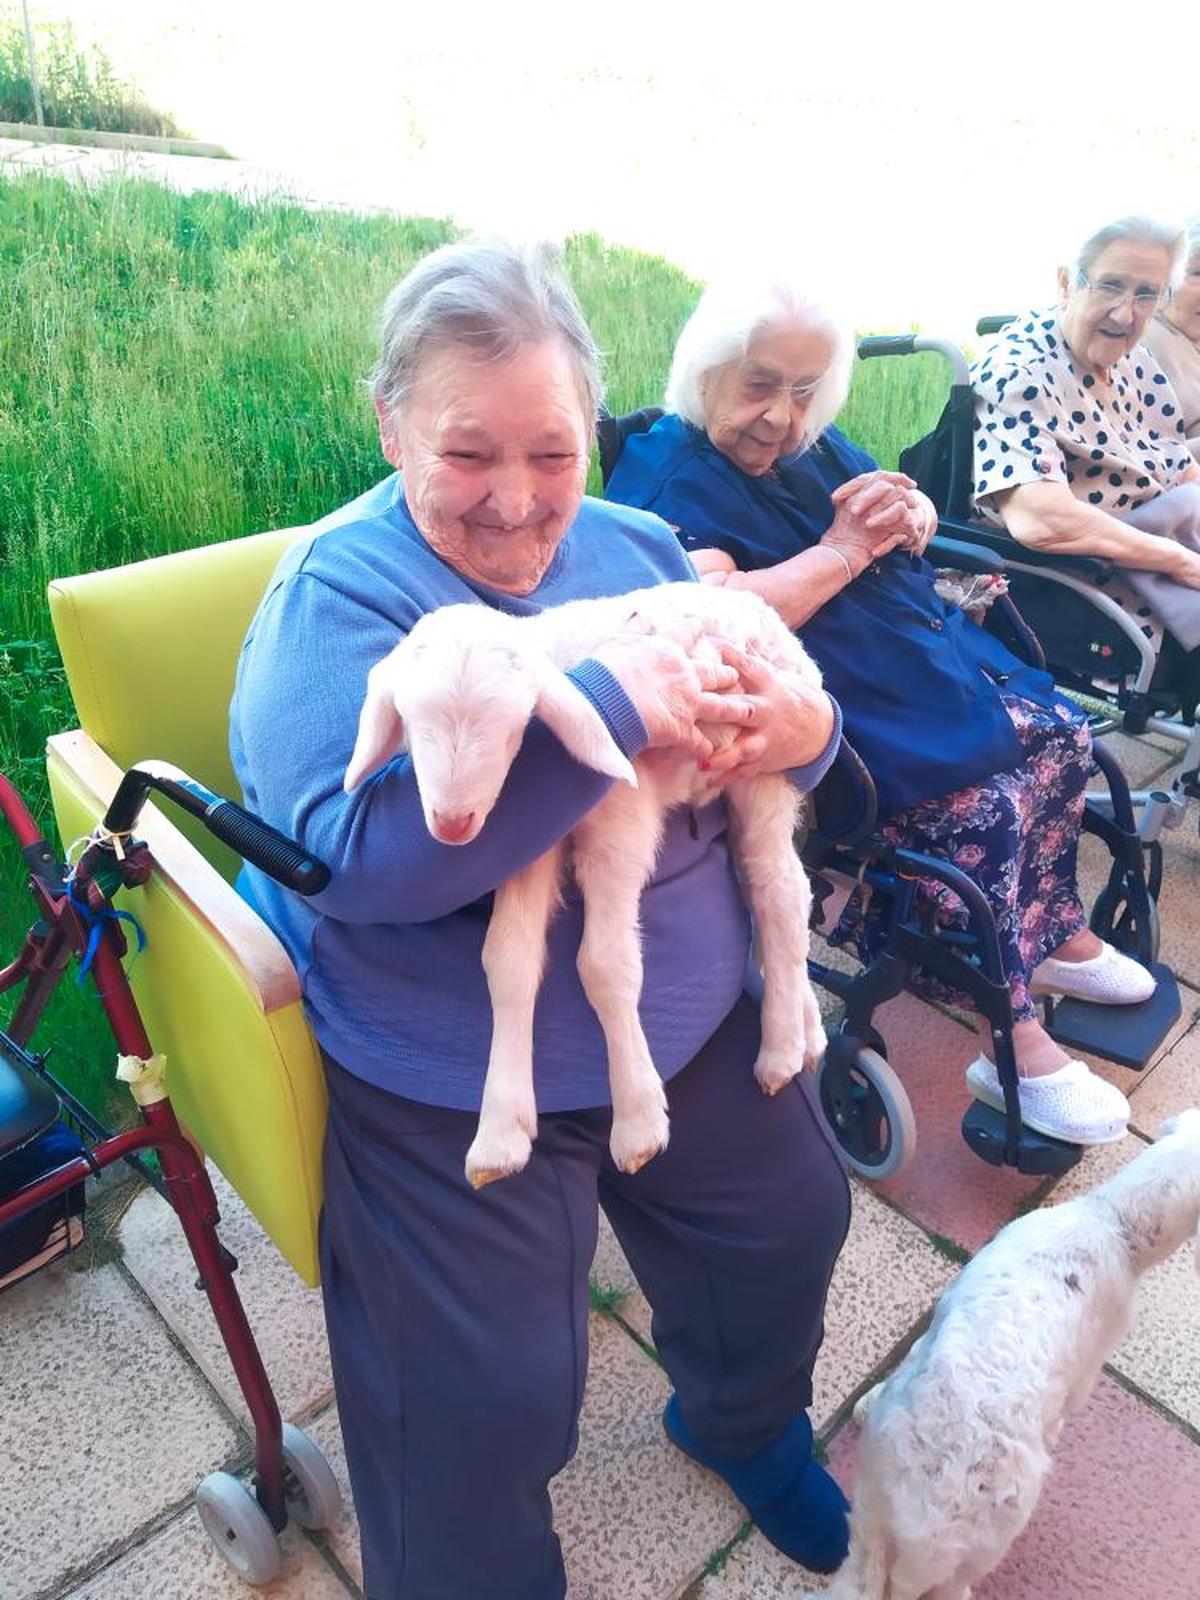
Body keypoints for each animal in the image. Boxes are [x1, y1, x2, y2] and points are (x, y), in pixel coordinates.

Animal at [339, 582, 825, 1184]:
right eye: (408, 720)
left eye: (511, 730)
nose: (453, 825)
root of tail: (762, 609)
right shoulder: (527, 845)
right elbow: (507, 961)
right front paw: (500, 1136)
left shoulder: (620, 823)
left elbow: (606, 965)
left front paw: (638, 1123)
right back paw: (809, 1032)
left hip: (764, 761)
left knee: (779, 893)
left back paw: (780, 1048)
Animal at [825, 1113, 1200, 1600]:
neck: (1113, 1220)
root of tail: (920, 1515)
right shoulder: (1088, 1367)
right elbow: (1066, 1408)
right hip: (983, 1544)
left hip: (869, 1512)